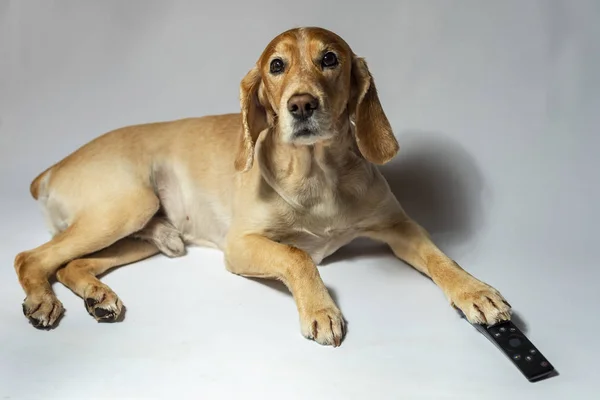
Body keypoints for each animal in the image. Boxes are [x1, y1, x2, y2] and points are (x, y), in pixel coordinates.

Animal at [14, 26, 508, 346]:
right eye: (276, 65)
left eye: (330, 59)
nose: (302, 104)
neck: (319, 174)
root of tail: (51, 169)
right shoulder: (241, 245)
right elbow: (297, 257)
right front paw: (320, 309)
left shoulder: (400, 227)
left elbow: (441, 258)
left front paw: (474, 291)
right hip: (128, 206)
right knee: (30, 258)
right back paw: (41, 301)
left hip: (142, 235)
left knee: (71, 265)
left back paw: (98, 296)